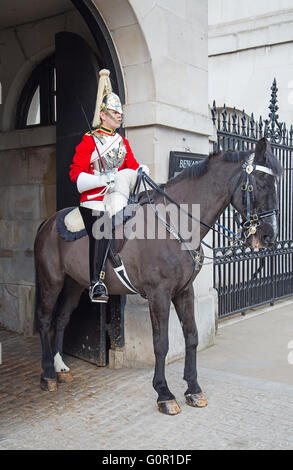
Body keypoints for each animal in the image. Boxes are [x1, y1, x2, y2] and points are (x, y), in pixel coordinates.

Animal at [33, 137, 280, 414]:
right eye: (259, 183)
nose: (269, 236)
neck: (176, 223)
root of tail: (49, 222)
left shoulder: (184, 291)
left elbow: (191, 336)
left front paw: (193, 389)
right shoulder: (158, 294)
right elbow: (161, 344)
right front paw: (164, 393)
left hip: (75, 284)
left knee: (61, 319)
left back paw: (60, 367)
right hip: (51, 281)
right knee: (45, 320)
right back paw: (47, 374)